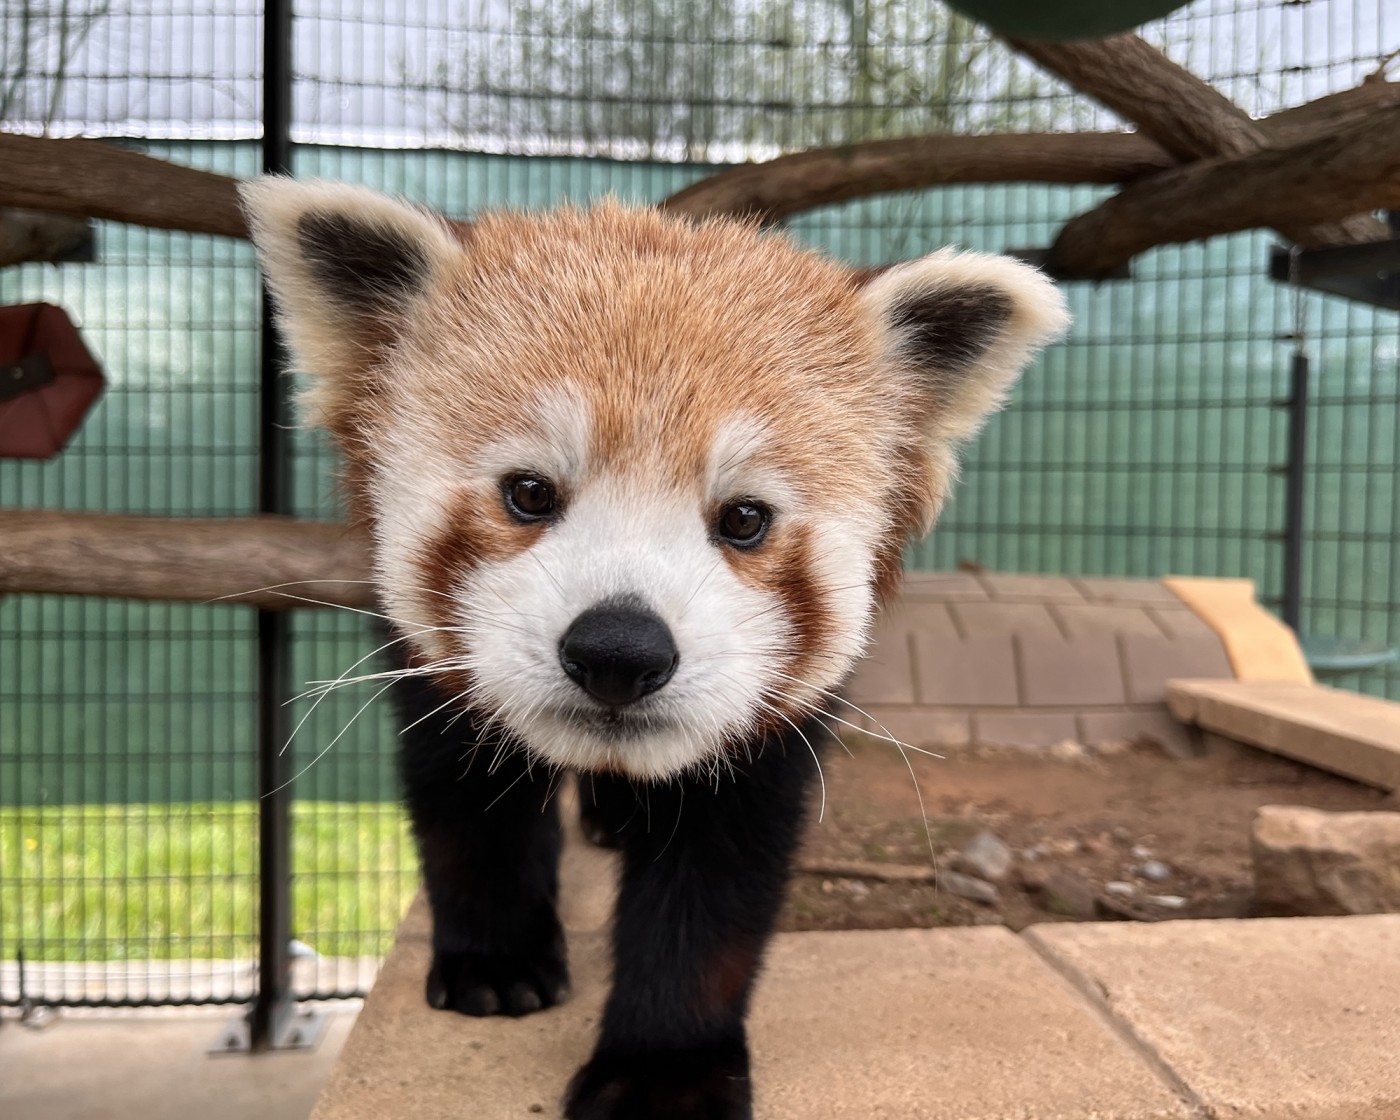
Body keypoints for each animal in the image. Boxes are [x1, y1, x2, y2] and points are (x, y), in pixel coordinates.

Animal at [243, 179, 1069, 1120]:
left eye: (744, 518)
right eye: (530, 493)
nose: (619, 651)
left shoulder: (767, 715)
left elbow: (716, 874)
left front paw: (664, 1071)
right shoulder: (428, 659)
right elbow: (464, 785)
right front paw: (496, 957)